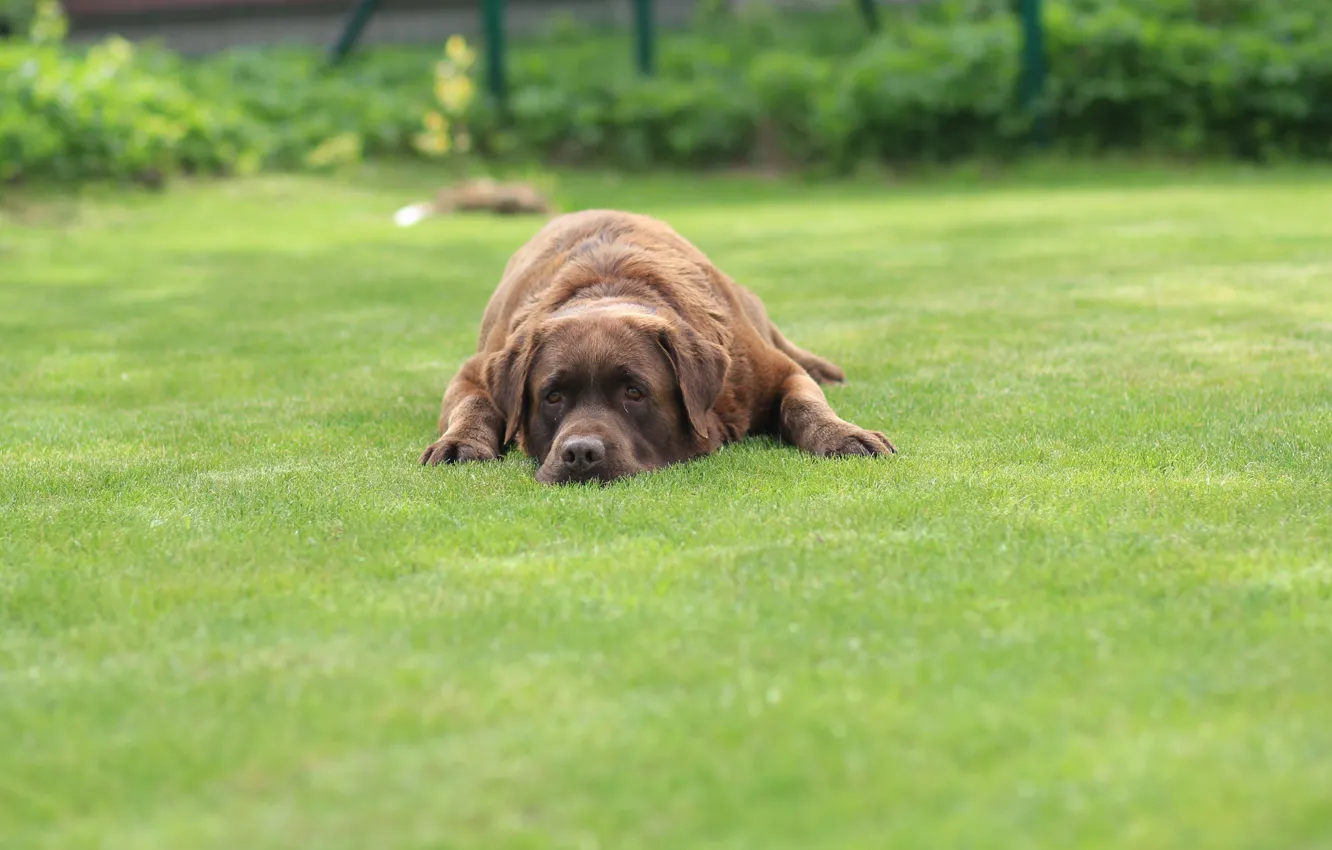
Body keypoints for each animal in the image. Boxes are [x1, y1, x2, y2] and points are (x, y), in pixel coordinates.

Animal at [418, 209, 895, 482]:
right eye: (552, 396)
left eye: (635, 392)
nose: (580, 454)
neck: (609, 287)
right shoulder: (479, 368)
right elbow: (474, 404)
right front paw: (460, 444)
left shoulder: (771, 370)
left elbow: (803, 402)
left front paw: (842, 435)